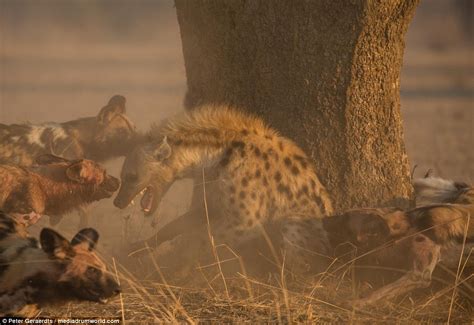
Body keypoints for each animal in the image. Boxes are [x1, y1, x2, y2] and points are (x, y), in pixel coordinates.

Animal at [114, 106, 334, 274]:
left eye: (131, 176)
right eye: (122, 176)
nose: (117, 202)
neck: (213, 158)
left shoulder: (246, 220)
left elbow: (204, 239)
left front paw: (177, 268)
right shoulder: (212, 201)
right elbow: (176, 225)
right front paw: (137, 248)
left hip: (297, 224)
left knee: (303, 264)